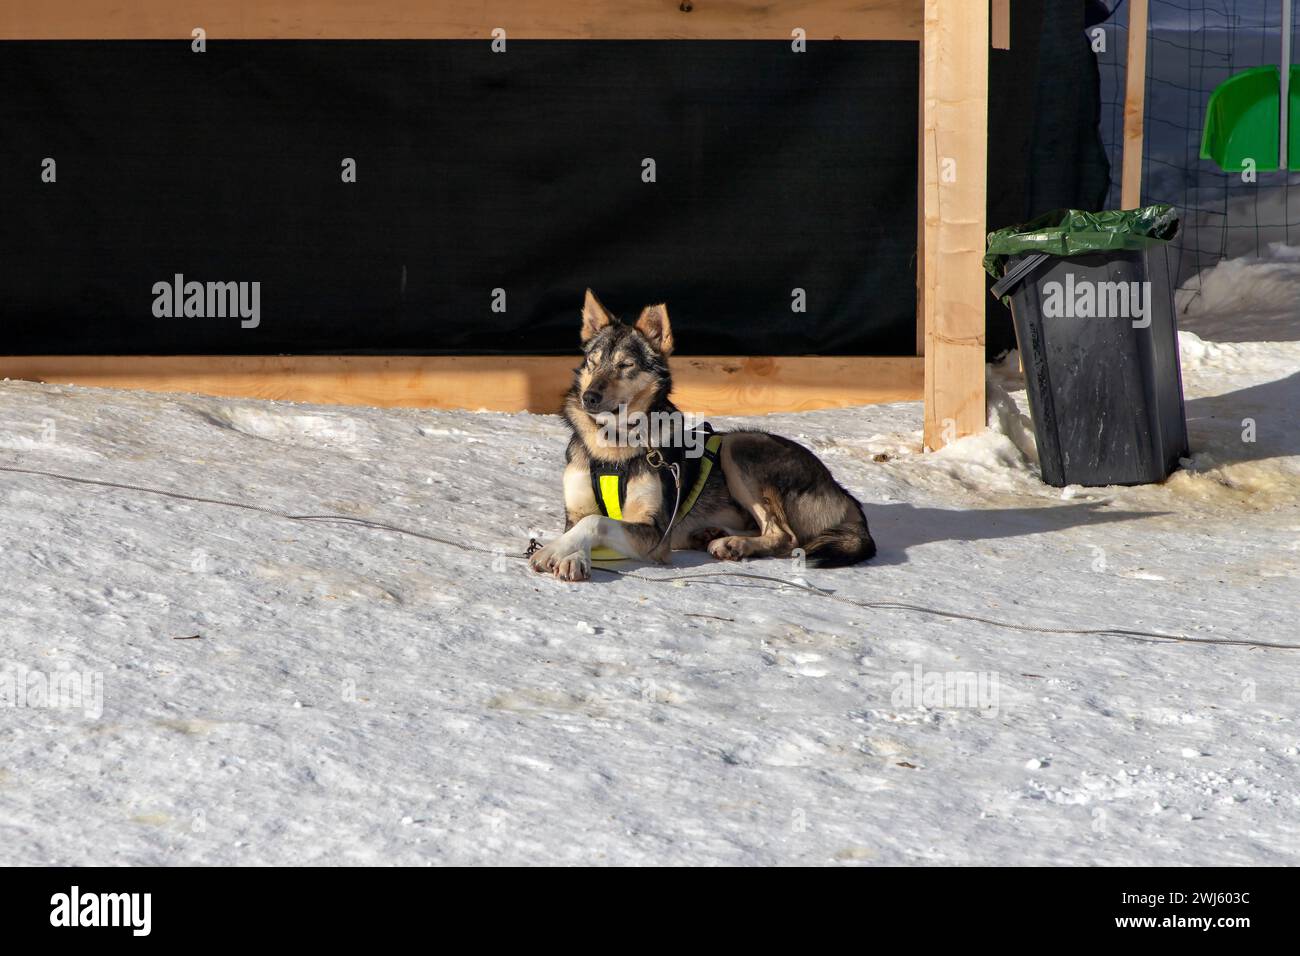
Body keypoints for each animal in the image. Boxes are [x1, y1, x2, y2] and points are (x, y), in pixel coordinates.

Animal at [525, 287, 873, 580]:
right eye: (593, 363)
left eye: (626, 365)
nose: (590, 398)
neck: (613, 446)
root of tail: (842, 491)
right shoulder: (575, 511)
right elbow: (581, 524)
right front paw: (572, 555)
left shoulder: (655, 533)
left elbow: (595, 522)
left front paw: (556, 551)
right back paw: (714, 535)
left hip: (738, 444)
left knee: (786, 536)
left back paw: (734, 544)